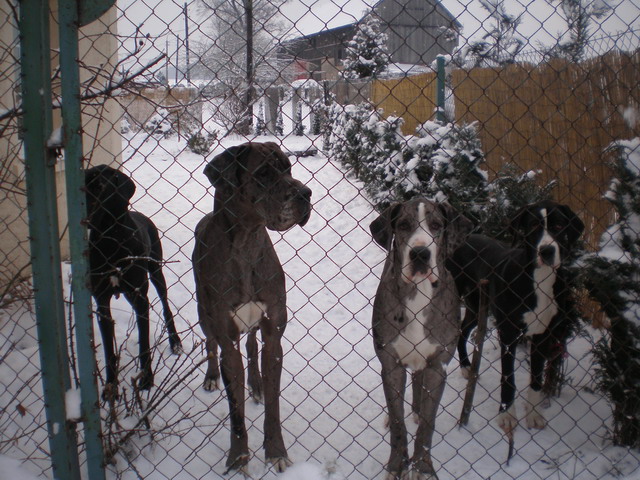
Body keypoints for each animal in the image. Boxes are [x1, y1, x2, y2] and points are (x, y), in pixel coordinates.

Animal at [448, 201, 584, 436]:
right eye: (533, 226)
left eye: (559, 225)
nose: (546, 250)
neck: (540, 279)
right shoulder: (508, 334)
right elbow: (508, 378)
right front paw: (507, 415)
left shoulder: (543, 335)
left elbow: (537, 378)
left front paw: (534, 415)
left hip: (476, 306)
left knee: (463, 331)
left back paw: (466, 367)